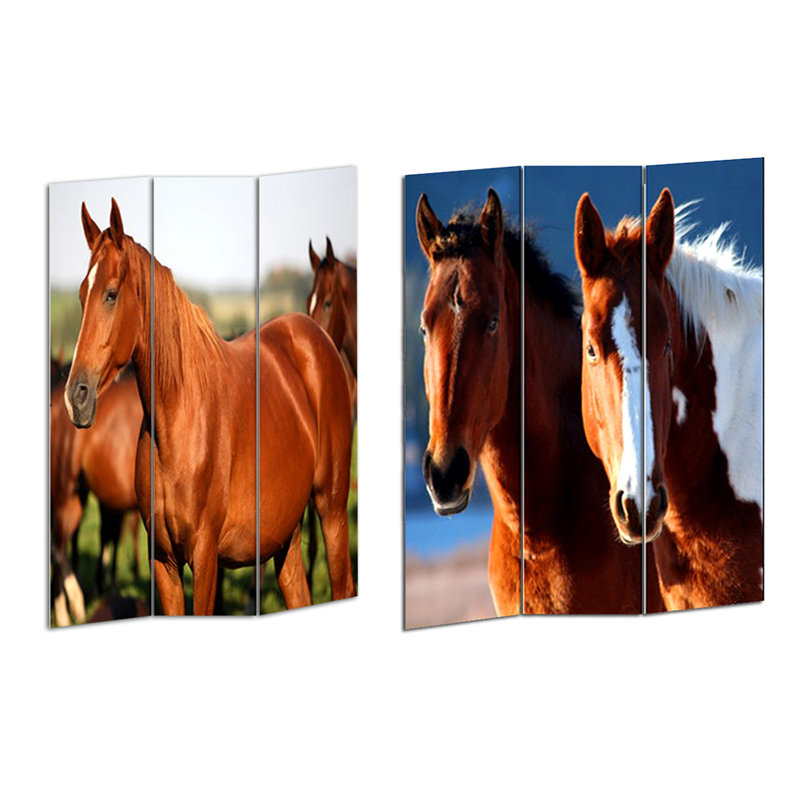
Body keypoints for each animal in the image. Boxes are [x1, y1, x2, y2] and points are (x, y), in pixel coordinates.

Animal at [65, 199, 354, 615]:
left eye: (111, 294)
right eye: (80, 295)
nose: (76, 397)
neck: (178, 419)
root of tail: (316, 337)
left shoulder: (204, 558)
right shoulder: (164, 563)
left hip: (331, 510)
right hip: (285, 535)